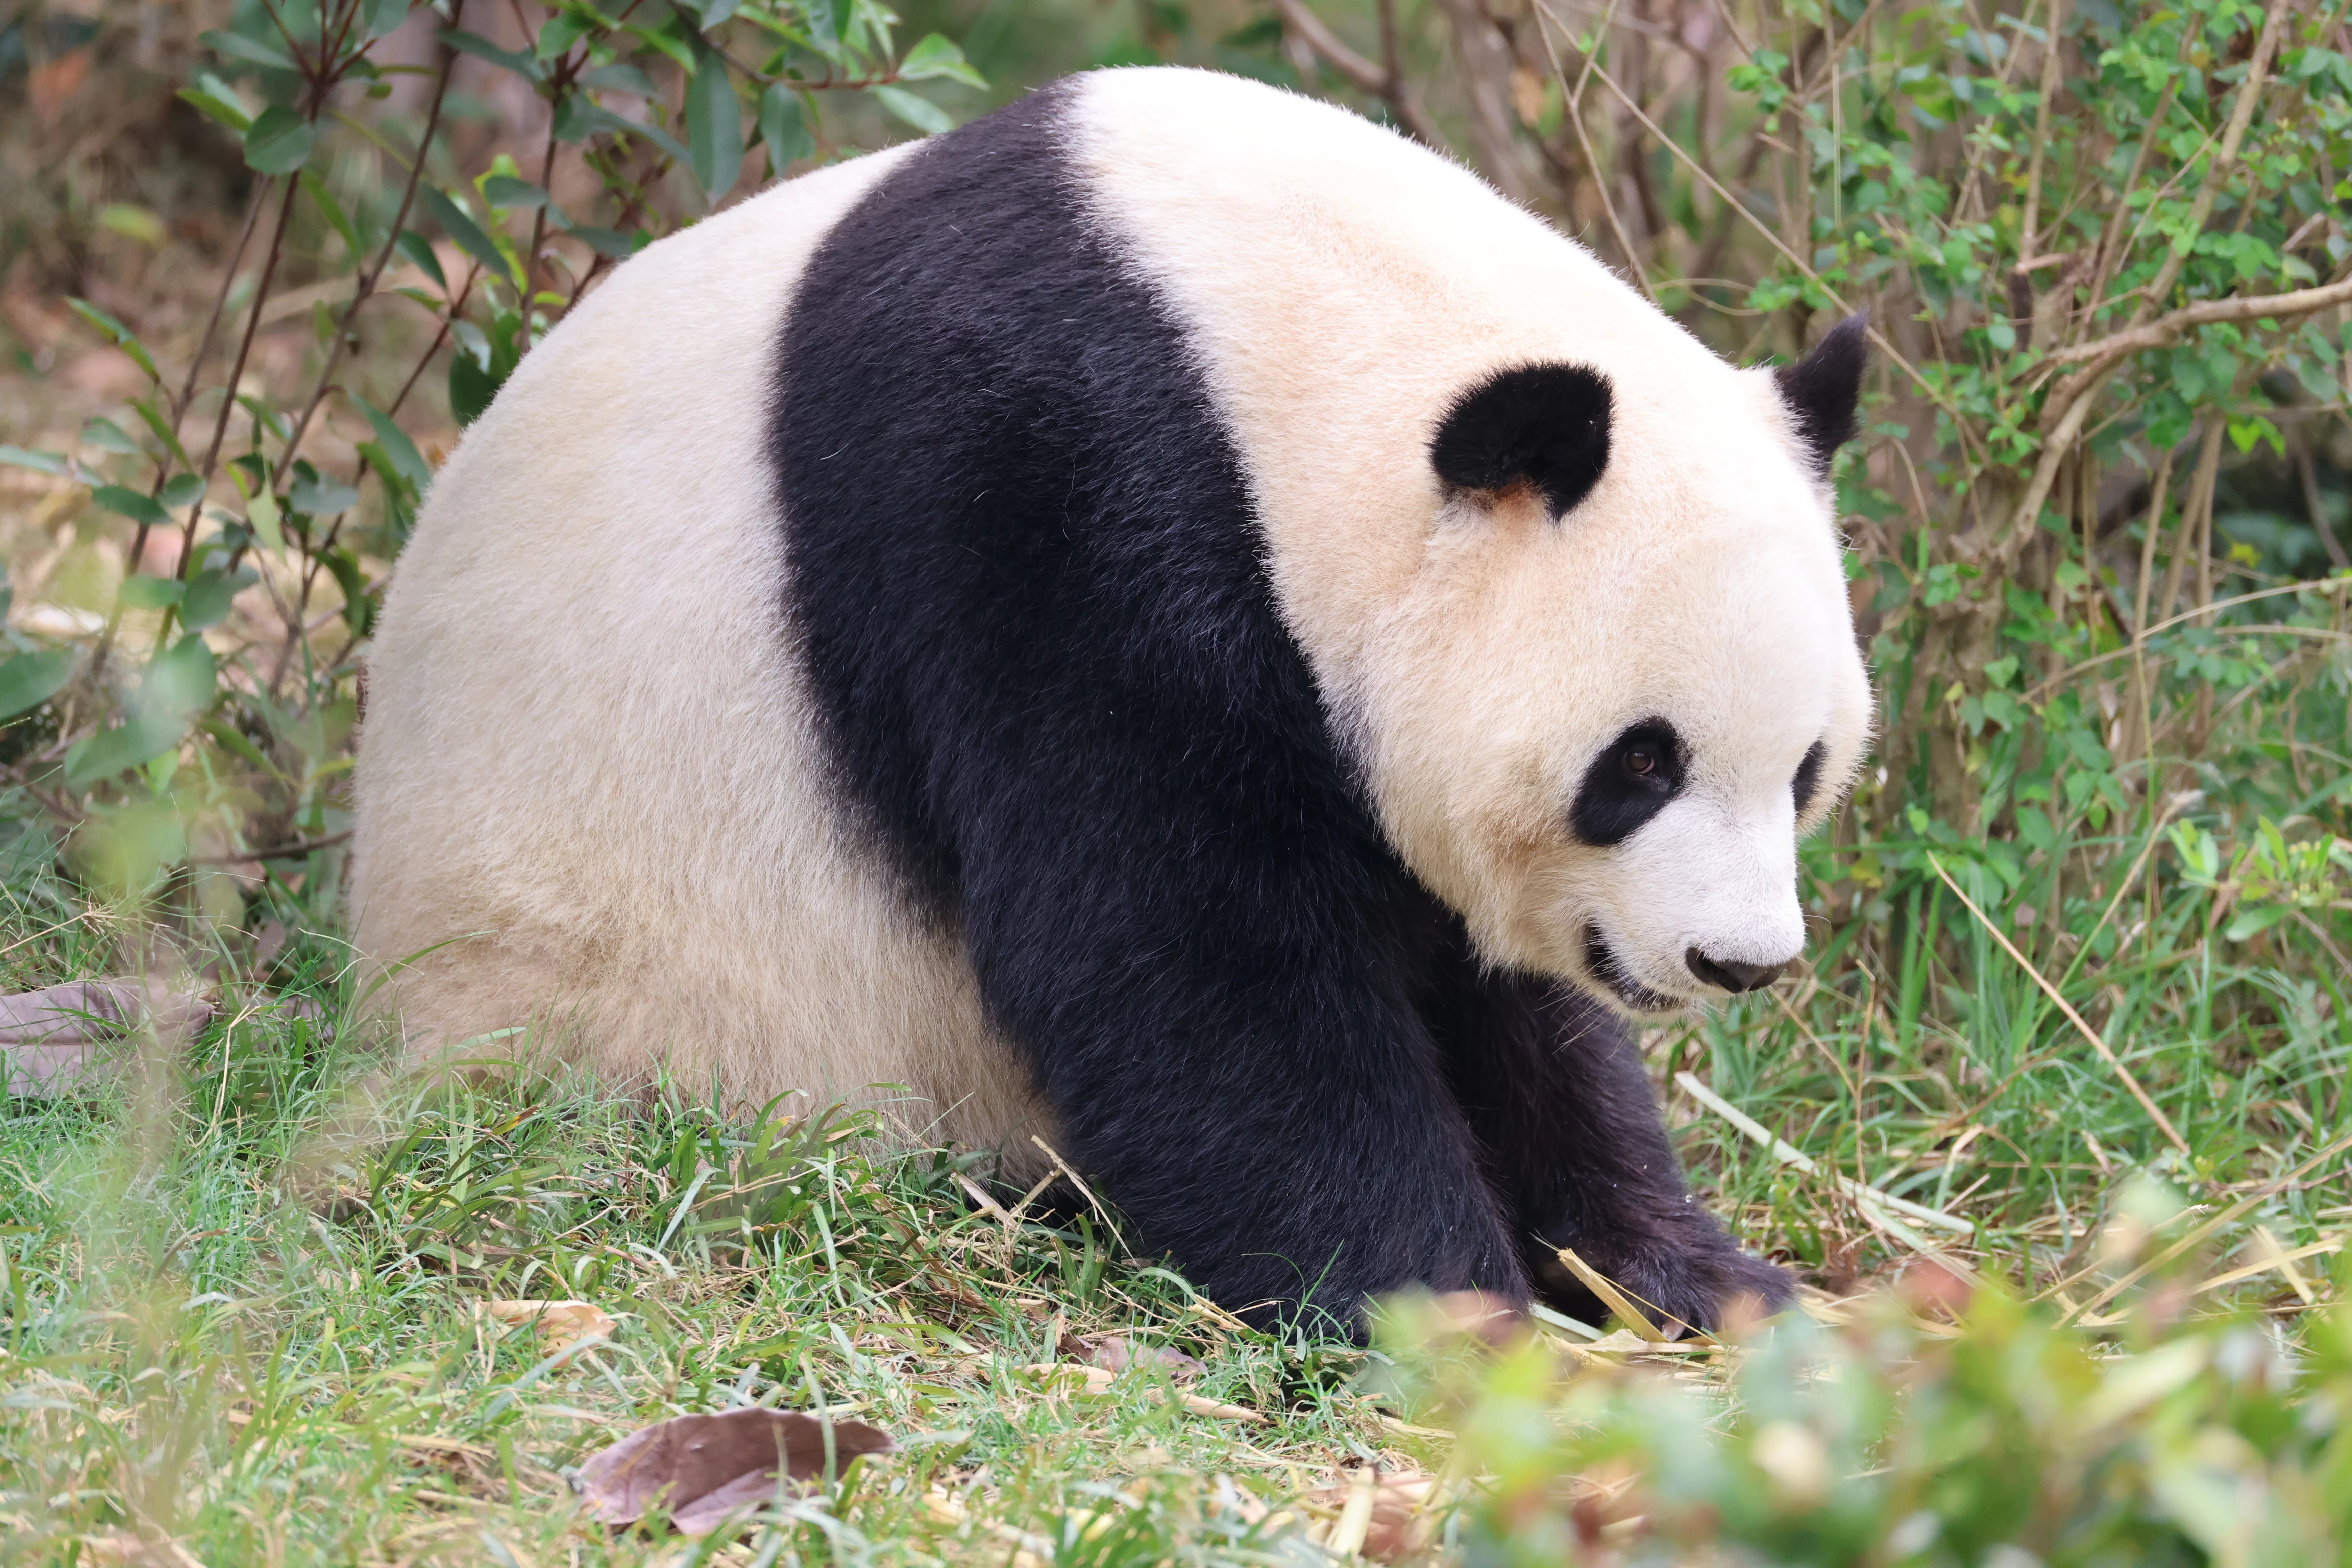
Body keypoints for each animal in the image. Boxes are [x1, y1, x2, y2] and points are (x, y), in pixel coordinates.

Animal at [352, 66, 1872, 1333]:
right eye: (1640, 764)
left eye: (1804, 769)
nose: (1738, 961)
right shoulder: (1049, 500)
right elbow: (1182, 958)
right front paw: (1444, 1314)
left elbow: (1494, 997)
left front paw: (1698, 1276)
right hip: (638, 998)